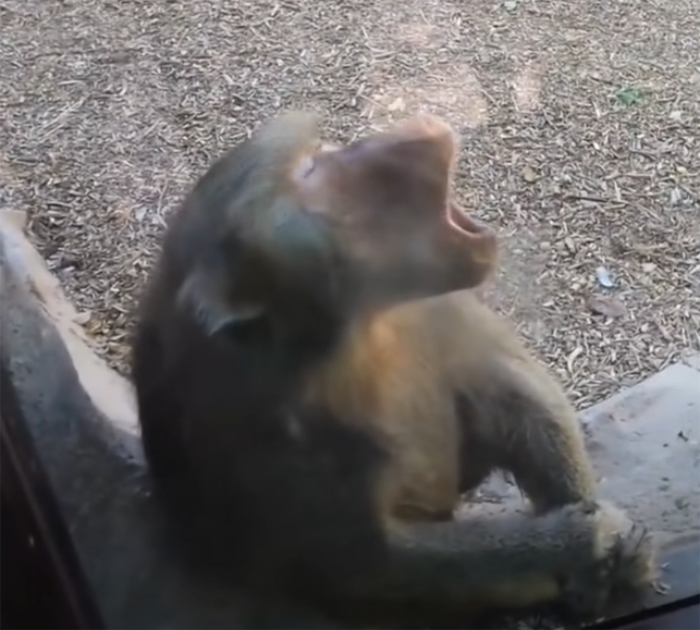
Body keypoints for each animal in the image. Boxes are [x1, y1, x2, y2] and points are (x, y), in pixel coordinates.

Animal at [130, 111, 655, 629]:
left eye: (316, 155)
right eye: (308, 174)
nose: (417, 131)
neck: (364, 331)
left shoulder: (436, 311)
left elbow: (513, 393)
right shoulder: (267, 430)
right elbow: (377, 564)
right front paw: (580, 547)